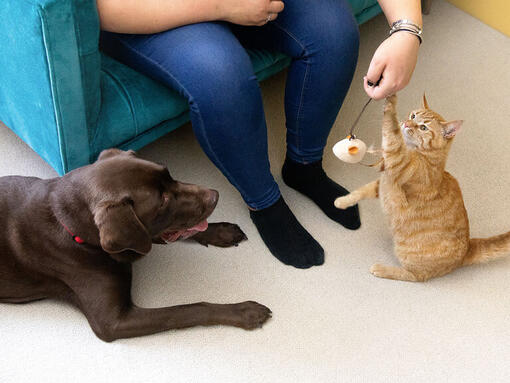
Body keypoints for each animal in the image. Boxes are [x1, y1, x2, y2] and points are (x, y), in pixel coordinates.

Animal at [334, 94, 510, 282]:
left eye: (423, 127)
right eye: (413, 116)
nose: (406, 123)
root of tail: (468, 248)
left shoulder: (398, 159)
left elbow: (391, 131)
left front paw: (390, 102)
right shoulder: (382, 184)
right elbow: (360, 192)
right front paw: (342, 202)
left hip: (408, 256)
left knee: (415, 276)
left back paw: (381, 269)